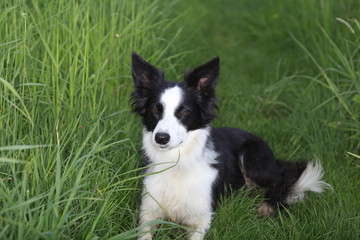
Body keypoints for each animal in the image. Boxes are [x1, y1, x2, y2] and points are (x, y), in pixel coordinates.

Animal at [130, 52, 332, 240]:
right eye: (155, 110)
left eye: (184, 112)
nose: (161, 138)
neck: (177, 163)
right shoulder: (148, 211)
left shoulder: (202, 217)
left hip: (251, 154)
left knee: (283, 181)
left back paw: (266, 207)